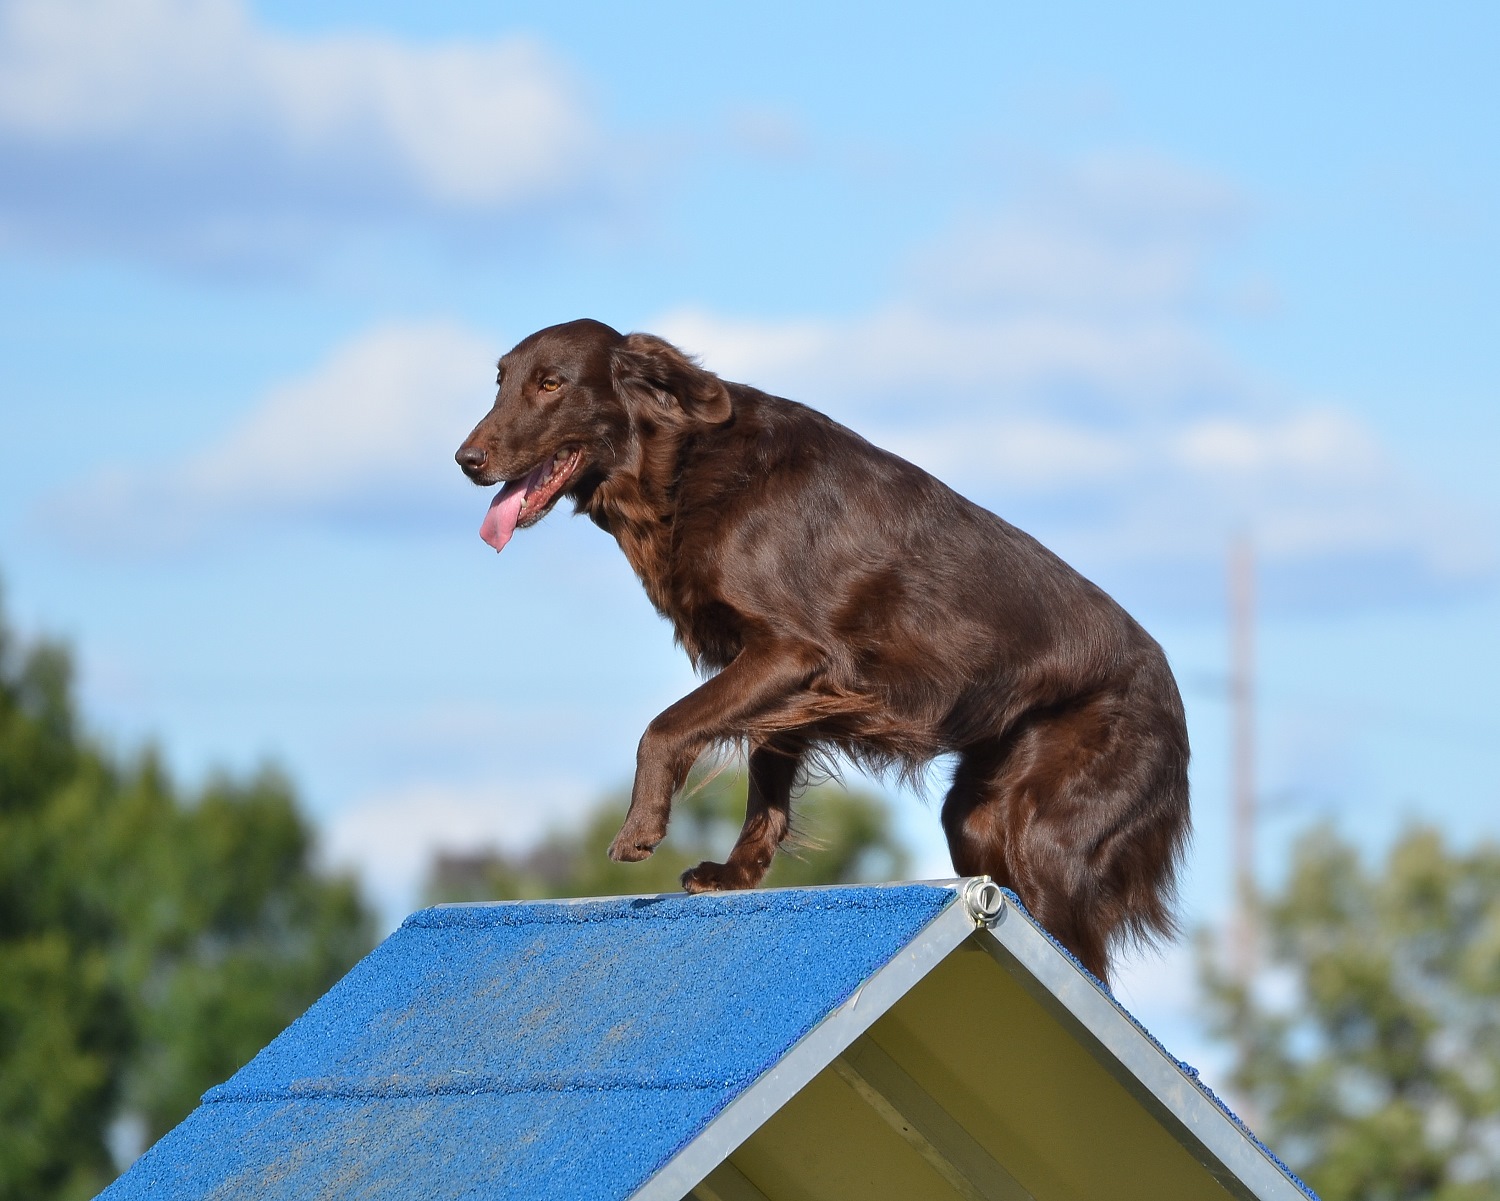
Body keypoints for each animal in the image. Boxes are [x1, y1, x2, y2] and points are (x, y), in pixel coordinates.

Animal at [450, 317, 1188, 983]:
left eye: (551, 384)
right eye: (501, 380)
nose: (466, 461)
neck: (687, 466)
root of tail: (1172, 699)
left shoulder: (794, 652)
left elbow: (665, 726)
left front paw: (641, 827)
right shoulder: (777, 678)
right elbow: (765, 775)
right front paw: (735, 873)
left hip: (1045, 834)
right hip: (977, 816)